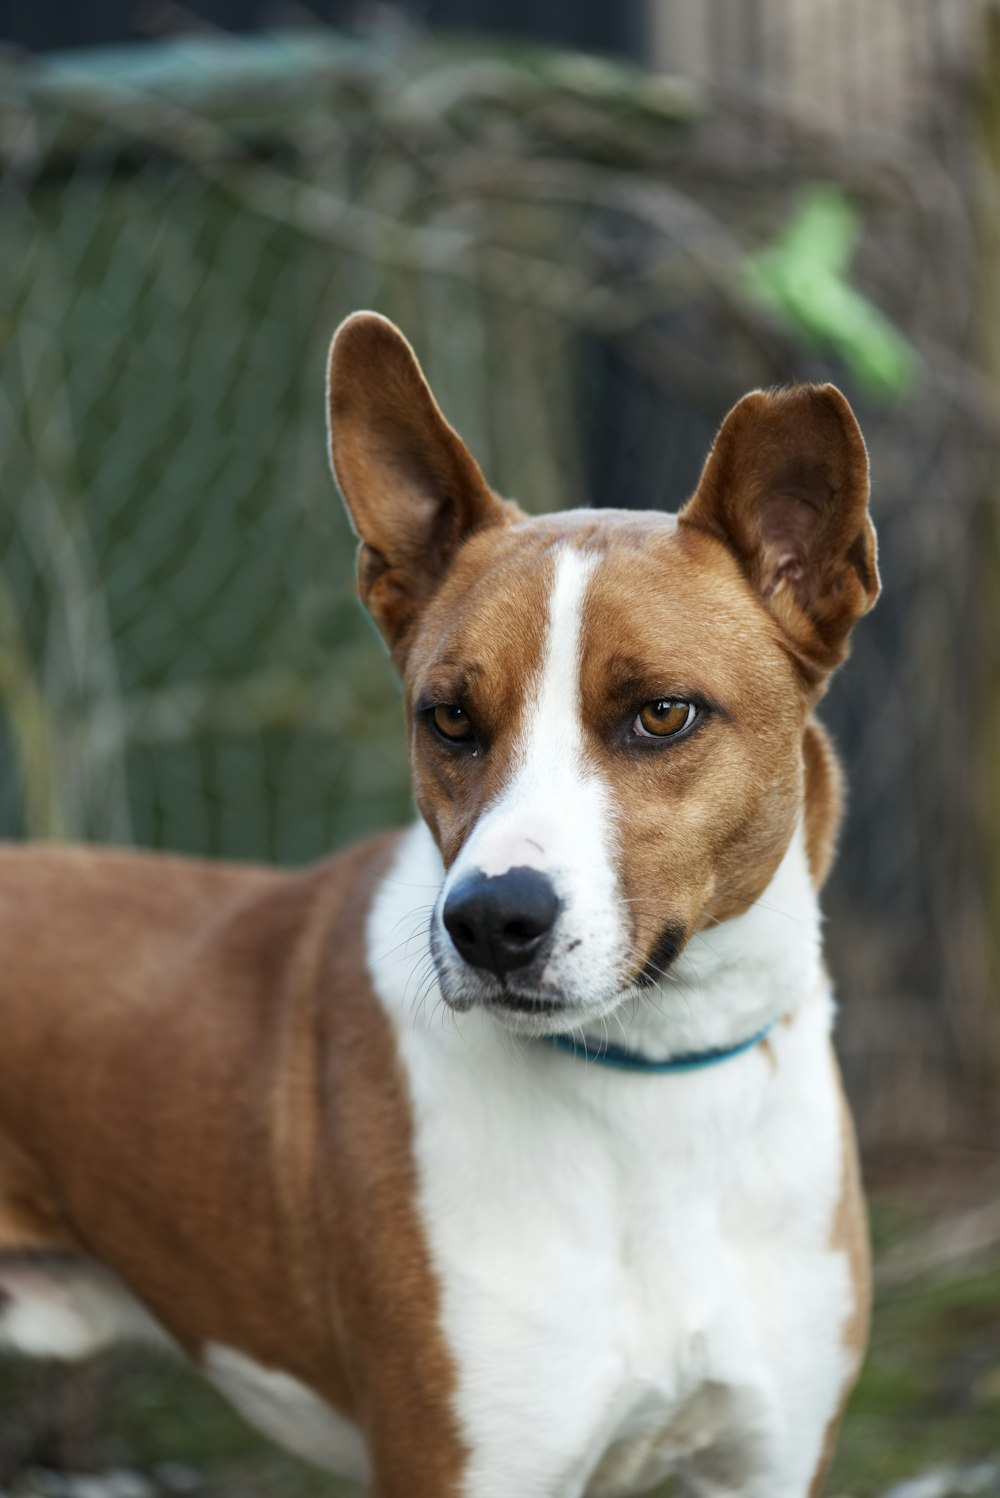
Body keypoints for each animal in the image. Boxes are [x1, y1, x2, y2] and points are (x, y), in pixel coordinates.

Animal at [0, 316, 874, 1498]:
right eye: (448, 718)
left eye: (661, 714)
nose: (492, 922)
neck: (653, 1090)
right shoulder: (457, 1464)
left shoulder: (768, 1463)